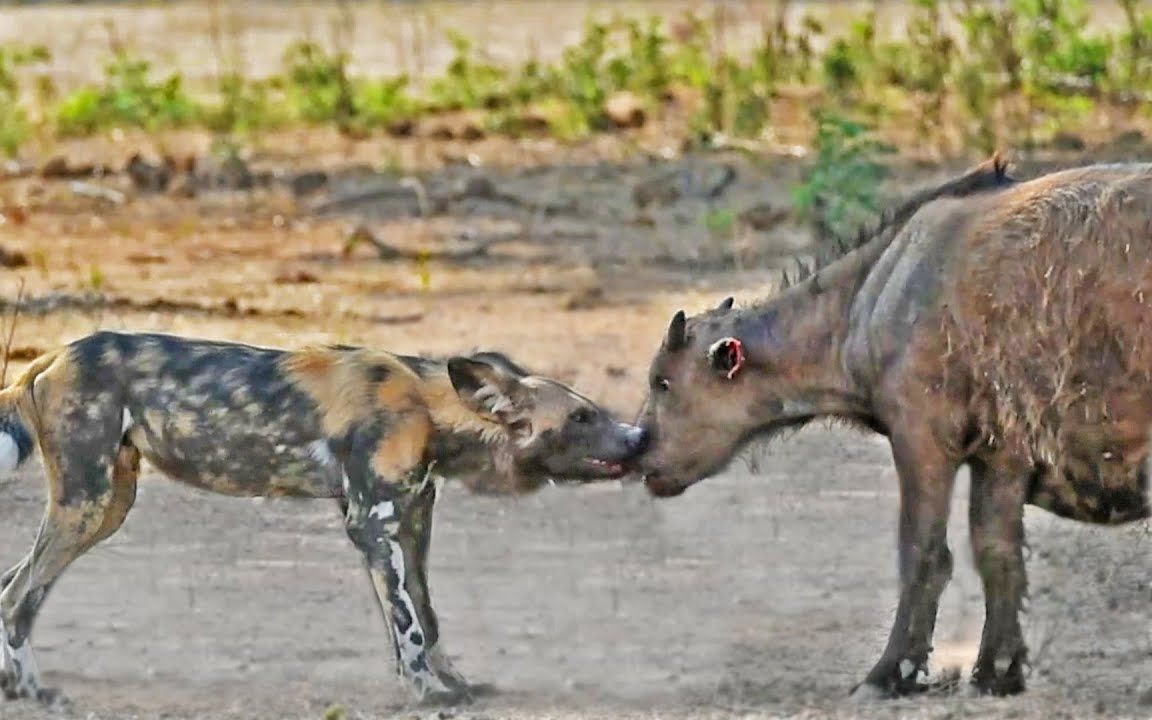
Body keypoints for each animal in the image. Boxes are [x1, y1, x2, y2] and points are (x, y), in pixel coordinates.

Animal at [0, 331, 649, 700]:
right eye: (582, 417)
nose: (639, 436)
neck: (429, 409)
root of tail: (50, 356)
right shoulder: (372, 527)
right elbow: (408, 626)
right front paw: (426, 695)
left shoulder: (411, 526)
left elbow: (429, 619)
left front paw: (454, 684)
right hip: (86, 505)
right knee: (19, 598)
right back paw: (33, 688)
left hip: (108, 506)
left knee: (12, 586)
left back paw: (14, 685)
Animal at [631, 155, 1152, 695]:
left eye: (663, 382)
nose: (635, 445)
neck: (875, 292)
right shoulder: (1001, 455)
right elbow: (997, 553)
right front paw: (997, 670)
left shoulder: (922, 439)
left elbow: (924, 553)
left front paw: (890, 671)